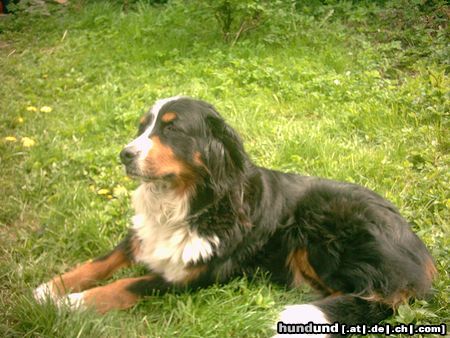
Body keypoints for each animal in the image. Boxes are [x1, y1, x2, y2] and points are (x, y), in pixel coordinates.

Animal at [34, 96, 436, 336]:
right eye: (143, 127)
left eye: (172, 128)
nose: (124, 154)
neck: (188, 203)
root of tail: (421, 252)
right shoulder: (143, 236)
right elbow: (100, 261)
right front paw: (51, 288)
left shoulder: (190, 278)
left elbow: (125, 285)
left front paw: (72, 303)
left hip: (327, 225)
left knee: (377, 300)